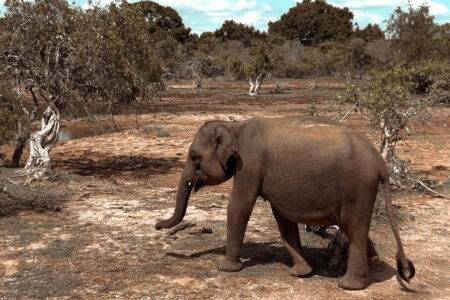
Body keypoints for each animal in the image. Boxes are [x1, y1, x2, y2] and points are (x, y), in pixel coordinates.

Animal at [155, 116, 414, 290]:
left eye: (193, 157)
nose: (157, 225)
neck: (235, 126)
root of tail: (380, 163)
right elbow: (282, 217)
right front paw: (301, 274)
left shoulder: (249, 166)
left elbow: (239, 207)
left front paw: (226, 269)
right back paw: (370, 263)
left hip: (357, 189)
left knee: (355, 230)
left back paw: (349, 286)